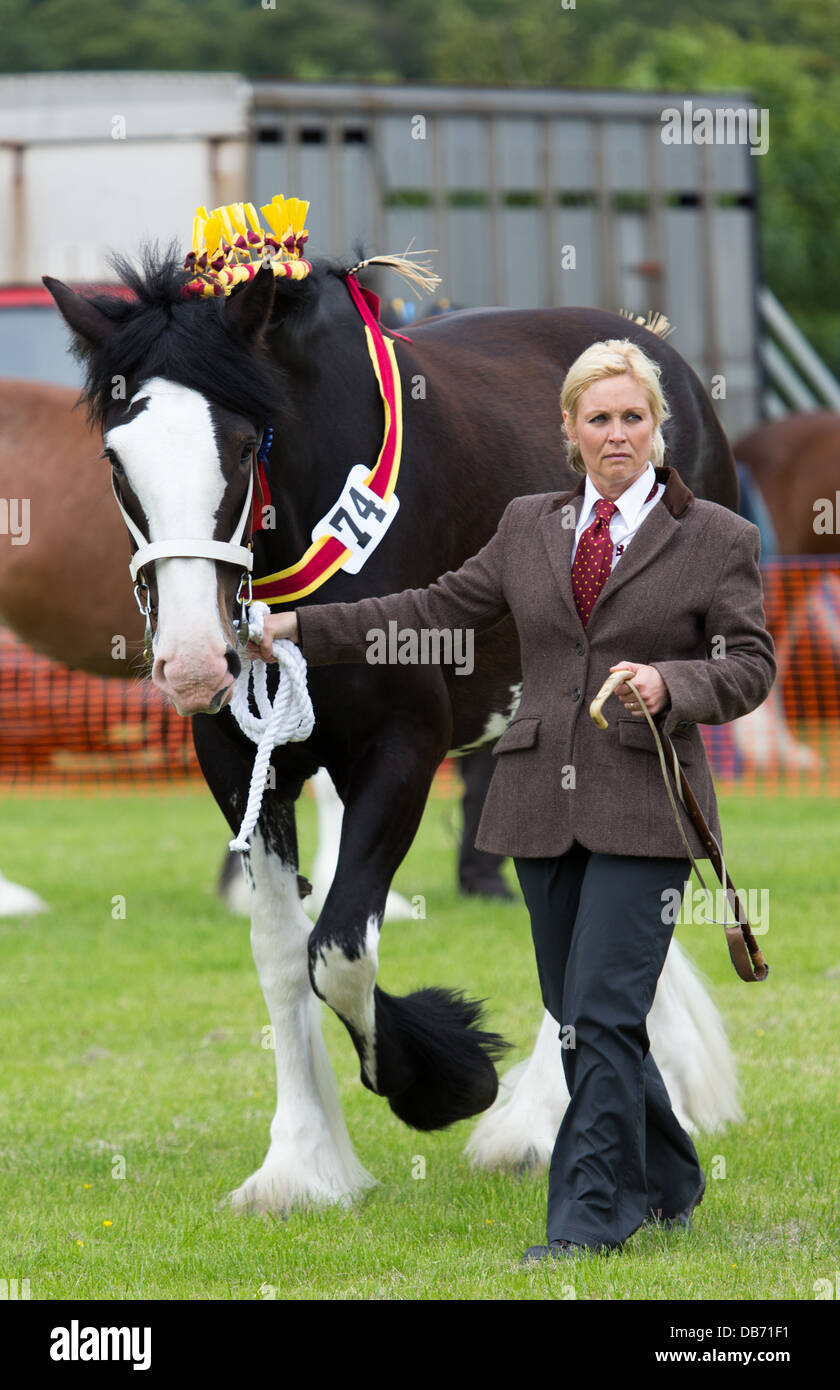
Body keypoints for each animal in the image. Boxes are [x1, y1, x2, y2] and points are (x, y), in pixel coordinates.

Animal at [44, 252, 739, 1217]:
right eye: (117, 459)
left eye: (244, 444)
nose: (191, 661)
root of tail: (653, 350)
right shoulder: (240, 764)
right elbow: (280, 953)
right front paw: (301, 1164)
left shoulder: (401, 752)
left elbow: (338, 949)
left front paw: (442, 1078)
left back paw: (535, 1123)